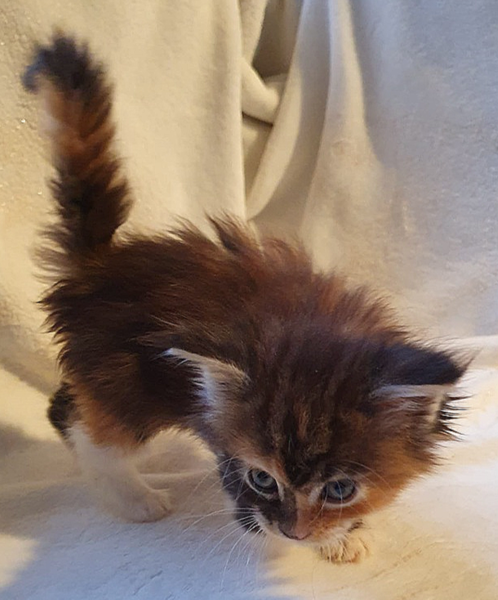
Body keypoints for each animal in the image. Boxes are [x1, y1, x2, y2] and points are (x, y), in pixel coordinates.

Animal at [24, 34, 466, 563]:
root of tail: (101, 263)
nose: (295, 533)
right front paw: (277, 535)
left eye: (340, 490)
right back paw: (134, 500)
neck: (311, 325)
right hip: (125, 379)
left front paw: (344, 536)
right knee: (88, 429)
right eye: (263, 479)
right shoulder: (220, 430)